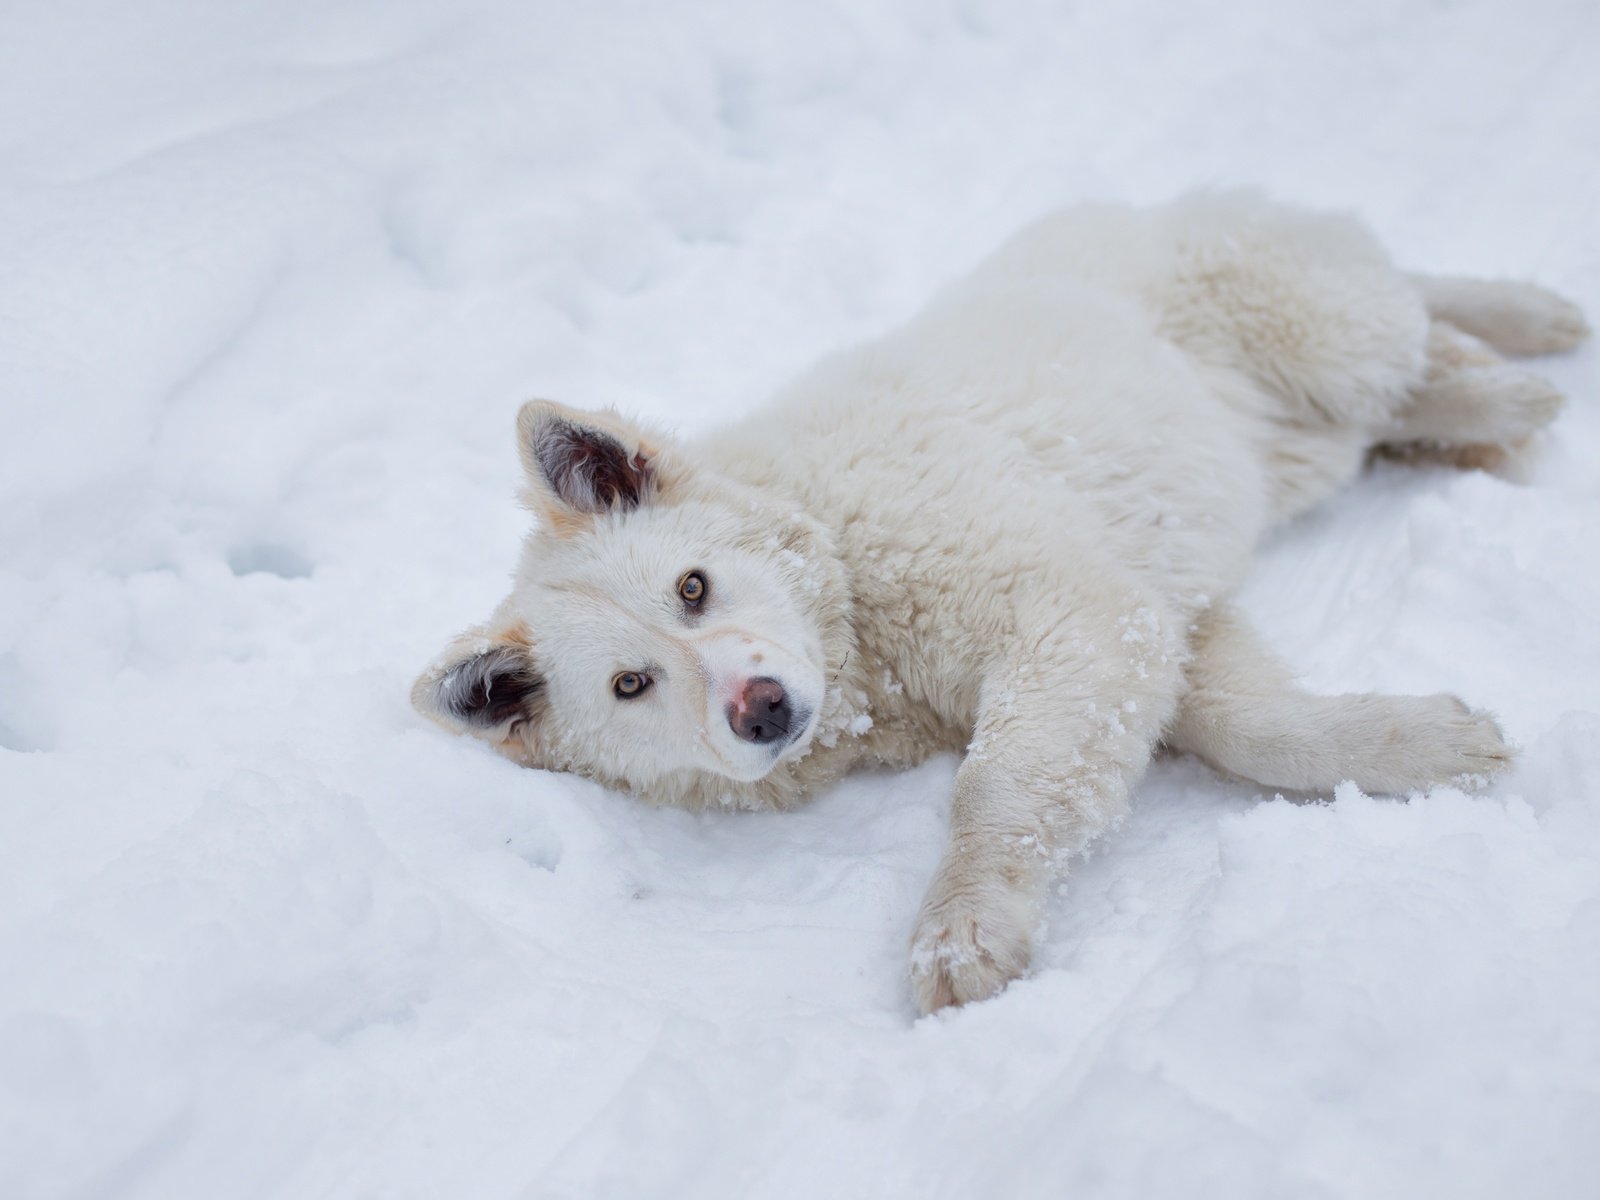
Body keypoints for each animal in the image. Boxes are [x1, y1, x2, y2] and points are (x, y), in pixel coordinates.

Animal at [412, 190, 1587, 1017]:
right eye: (632, 685)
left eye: (691, 588)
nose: (760, 709)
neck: (851, 595)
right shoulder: (1154, 620)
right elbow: (1253, 728)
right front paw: (1419, 744)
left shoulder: (1069, 609)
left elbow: (997, 788)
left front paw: (962, 925)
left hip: (1314, 327)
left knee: (1407, 313)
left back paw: (1516, 352)